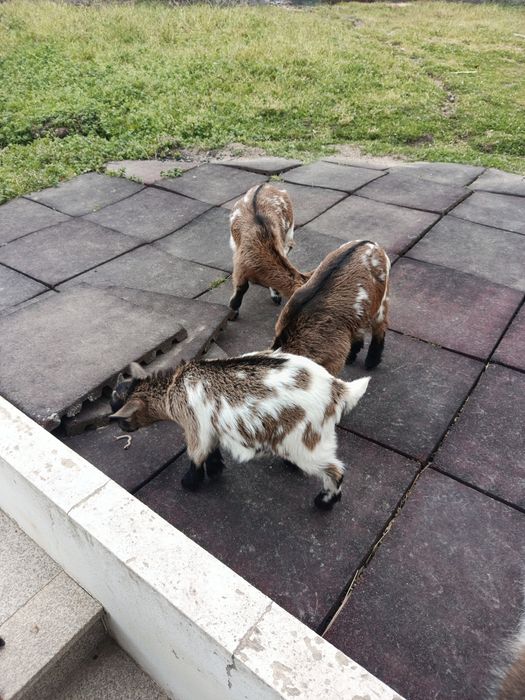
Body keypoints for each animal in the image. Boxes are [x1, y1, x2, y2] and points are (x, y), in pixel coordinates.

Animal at [110, 354, 370, 510]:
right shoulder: (210, 427)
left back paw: (325, 502)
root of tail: (338, 389)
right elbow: (212, 450)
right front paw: (215, 470)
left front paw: (189, 483)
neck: (174, 387)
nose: (119, 427)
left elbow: (196, 454)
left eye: (118, 413)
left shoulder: (195, 426)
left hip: (306, 443)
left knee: (335, 470)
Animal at [228, 183, 309, 317]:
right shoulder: (240, 264)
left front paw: (276, 295)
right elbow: (242, 287)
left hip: (289, 230)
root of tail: (266, 185)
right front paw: (233, 311)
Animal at [272, 240, 390, 376]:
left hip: (381, 299)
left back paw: (372, 361)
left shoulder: (334, 358)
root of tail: (371, 243)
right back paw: (352, 355)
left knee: (380, 327)